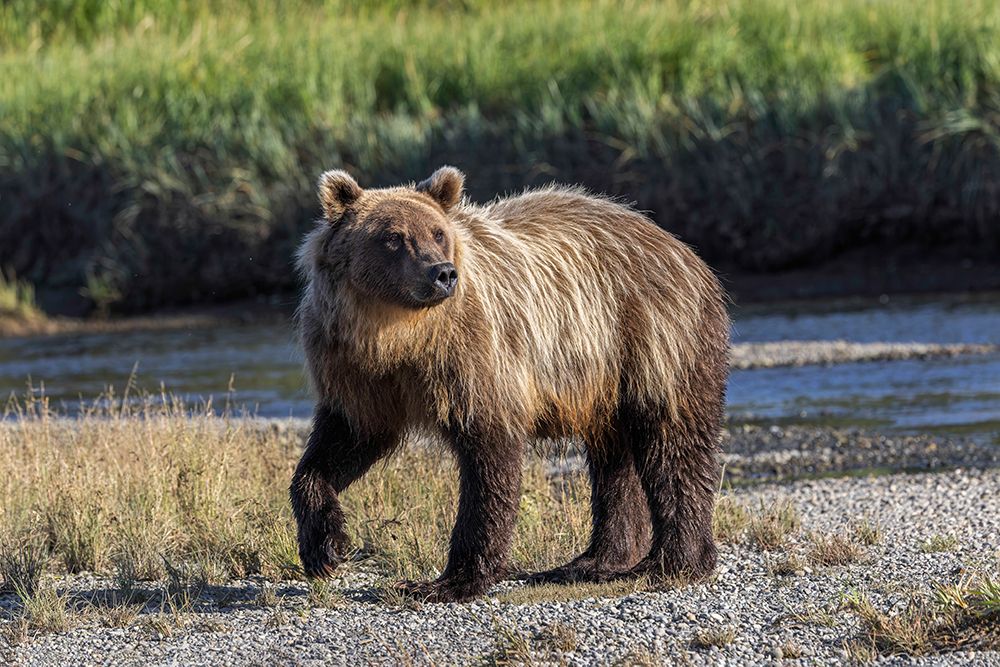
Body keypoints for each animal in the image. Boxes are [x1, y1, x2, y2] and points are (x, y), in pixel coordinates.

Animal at [290, 166, 728, 600]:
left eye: (437, 232)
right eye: (393, 237)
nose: (442, 273)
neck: (398, 335)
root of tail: (682, 249)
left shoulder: (474, 356)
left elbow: (489, 459)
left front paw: (449, 580)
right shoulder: (355, 373)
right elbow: (341, 444)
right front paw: (325, 547)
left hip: (653, 339)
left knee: (672, 445)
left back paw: (673, 561)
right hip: (606, 377)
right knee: (615, 461)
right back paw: (594, 562)